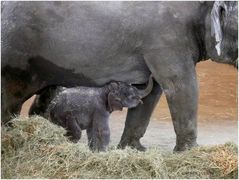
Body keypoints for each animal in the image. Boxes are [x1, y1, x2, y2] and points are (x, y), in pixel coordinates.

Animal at [1, 1, 237, 152]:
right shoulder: (168, 39)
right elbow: (181, 86)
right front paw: (189, 153)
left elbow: (151, 93)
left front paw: (132, 149)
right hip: (16, 52)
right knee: (10, 100)